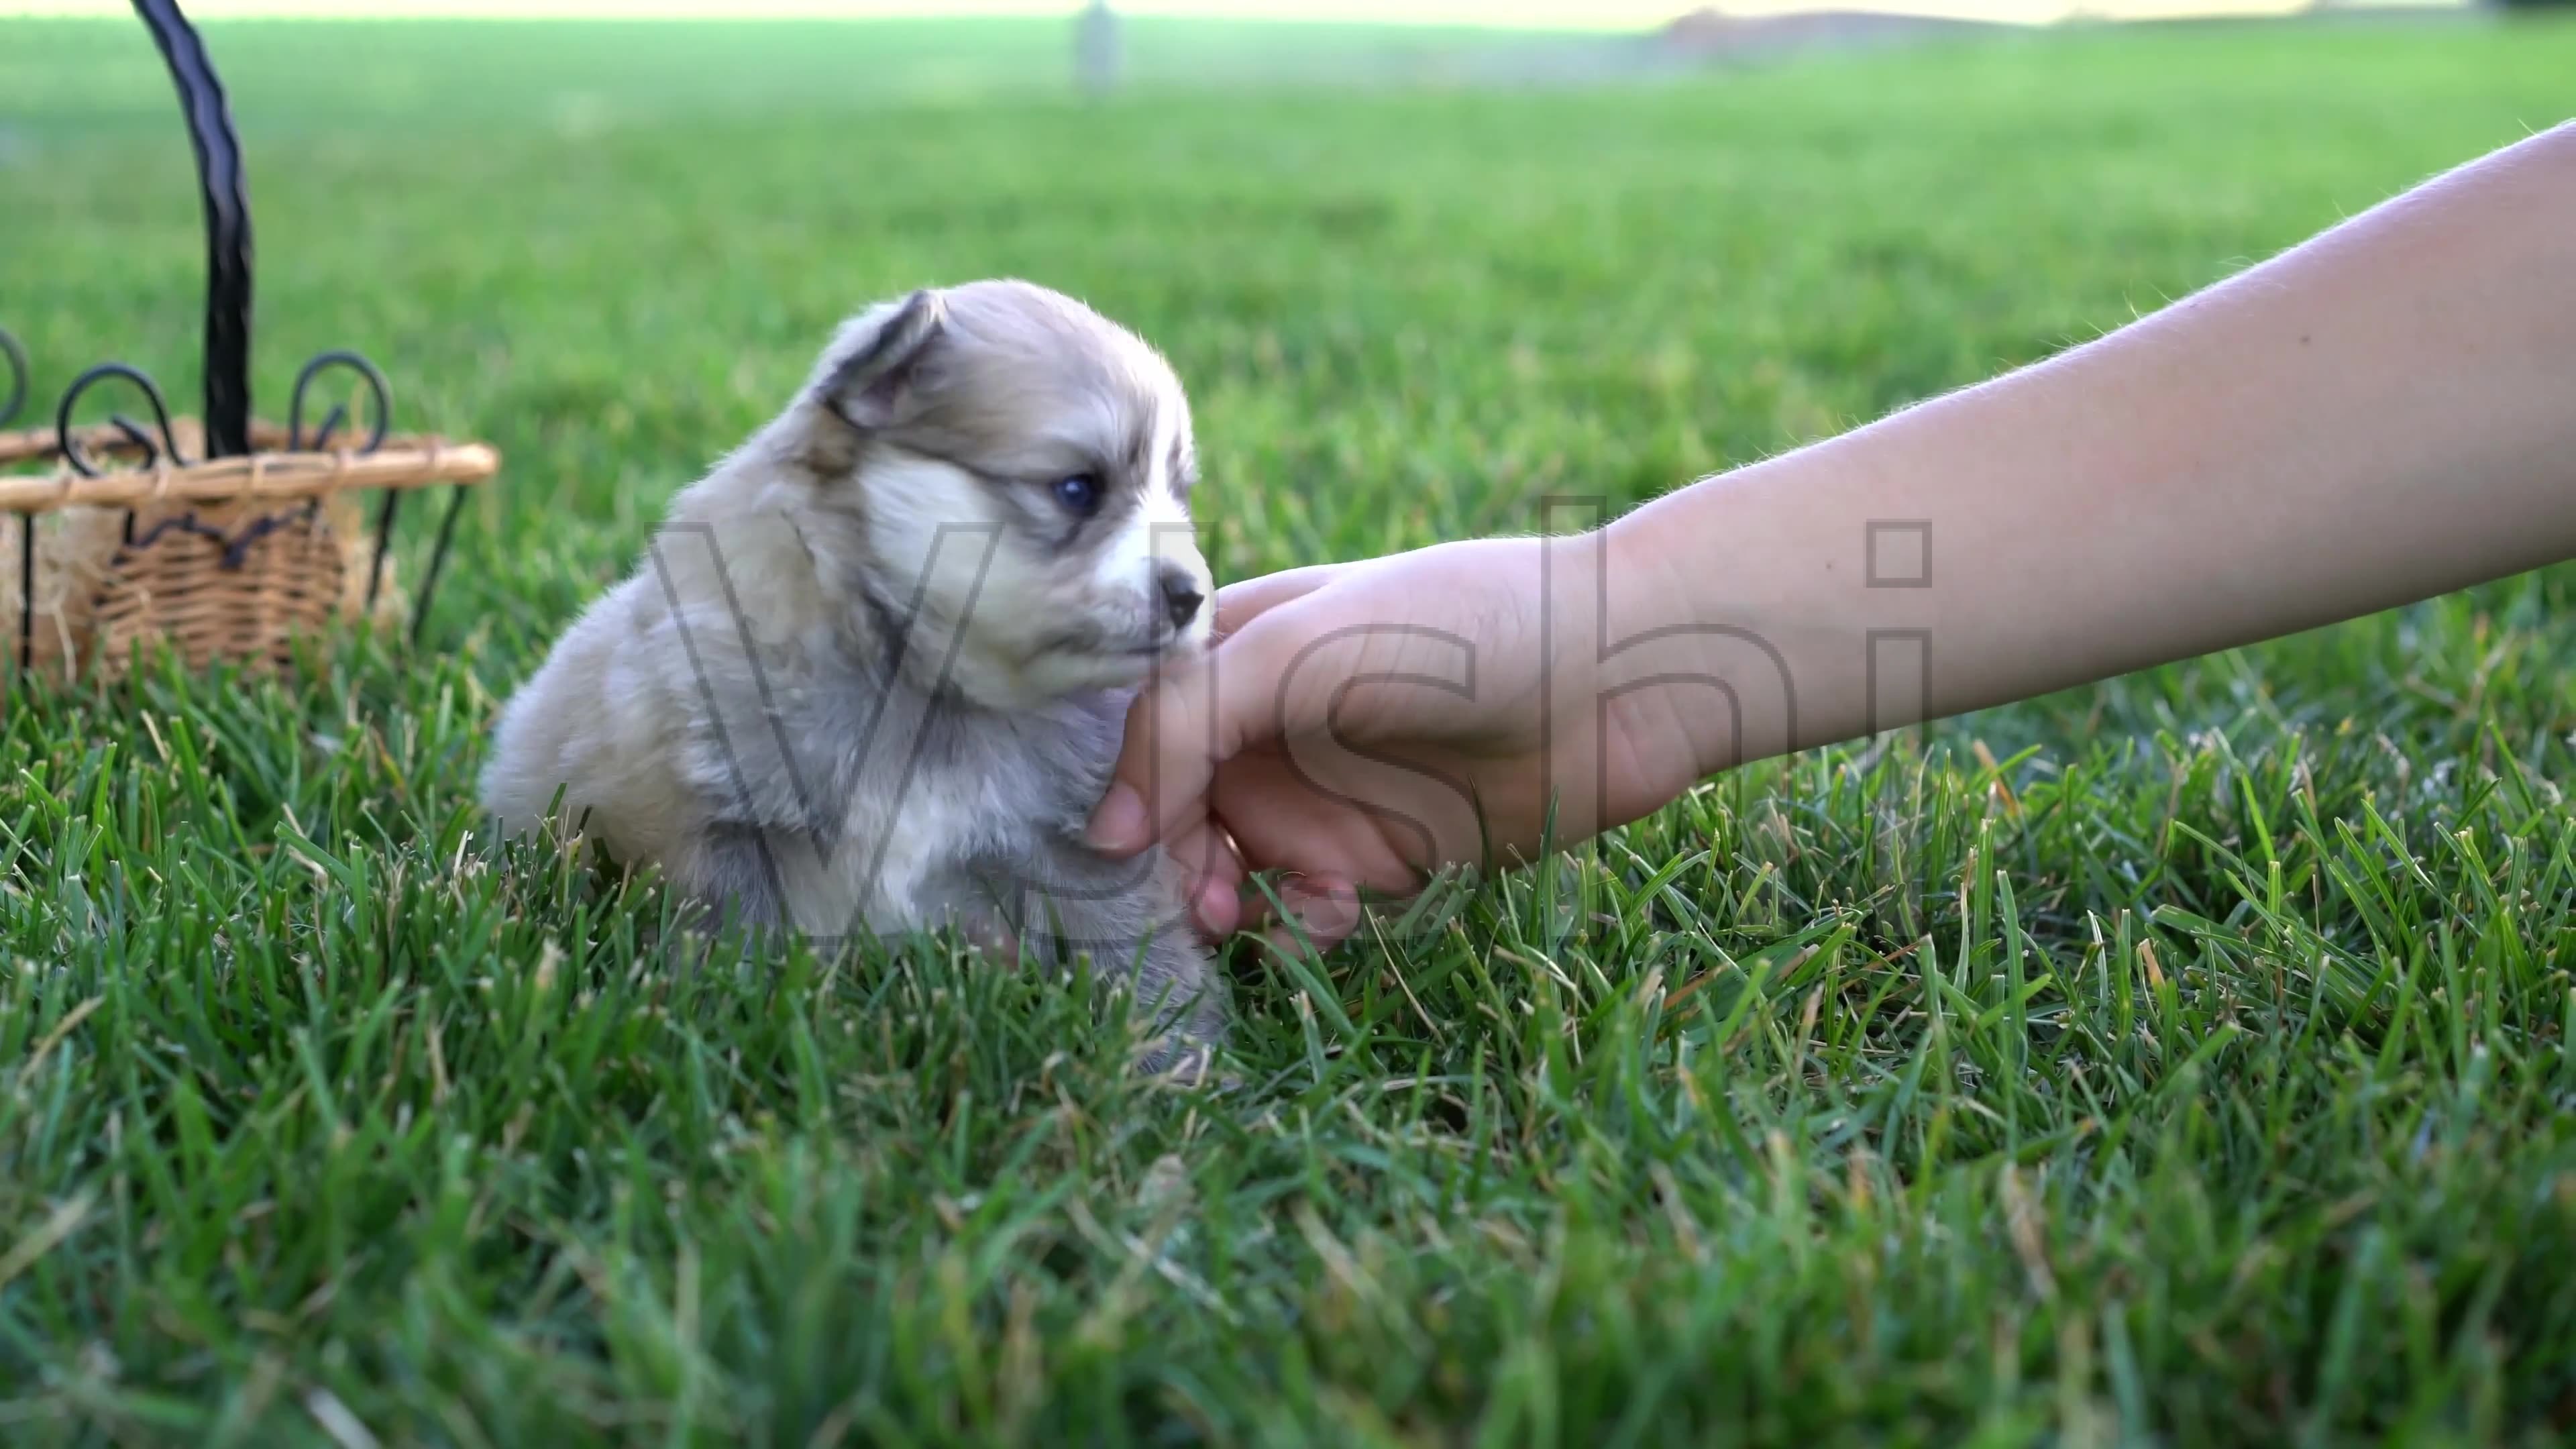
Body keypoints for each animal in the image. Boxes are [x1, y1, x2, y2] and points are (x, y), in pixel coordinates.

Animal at [482, 282, 1226, 1067]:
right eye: (1079, 489)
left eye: (1179, 493)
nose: (1190, 596)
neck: (925, 675)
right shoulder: (711, 823)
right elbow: (722, 938)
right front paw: (716, 1026)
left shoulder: (1076, 838)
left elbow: (1129, 943)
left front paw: (1176, 1060)